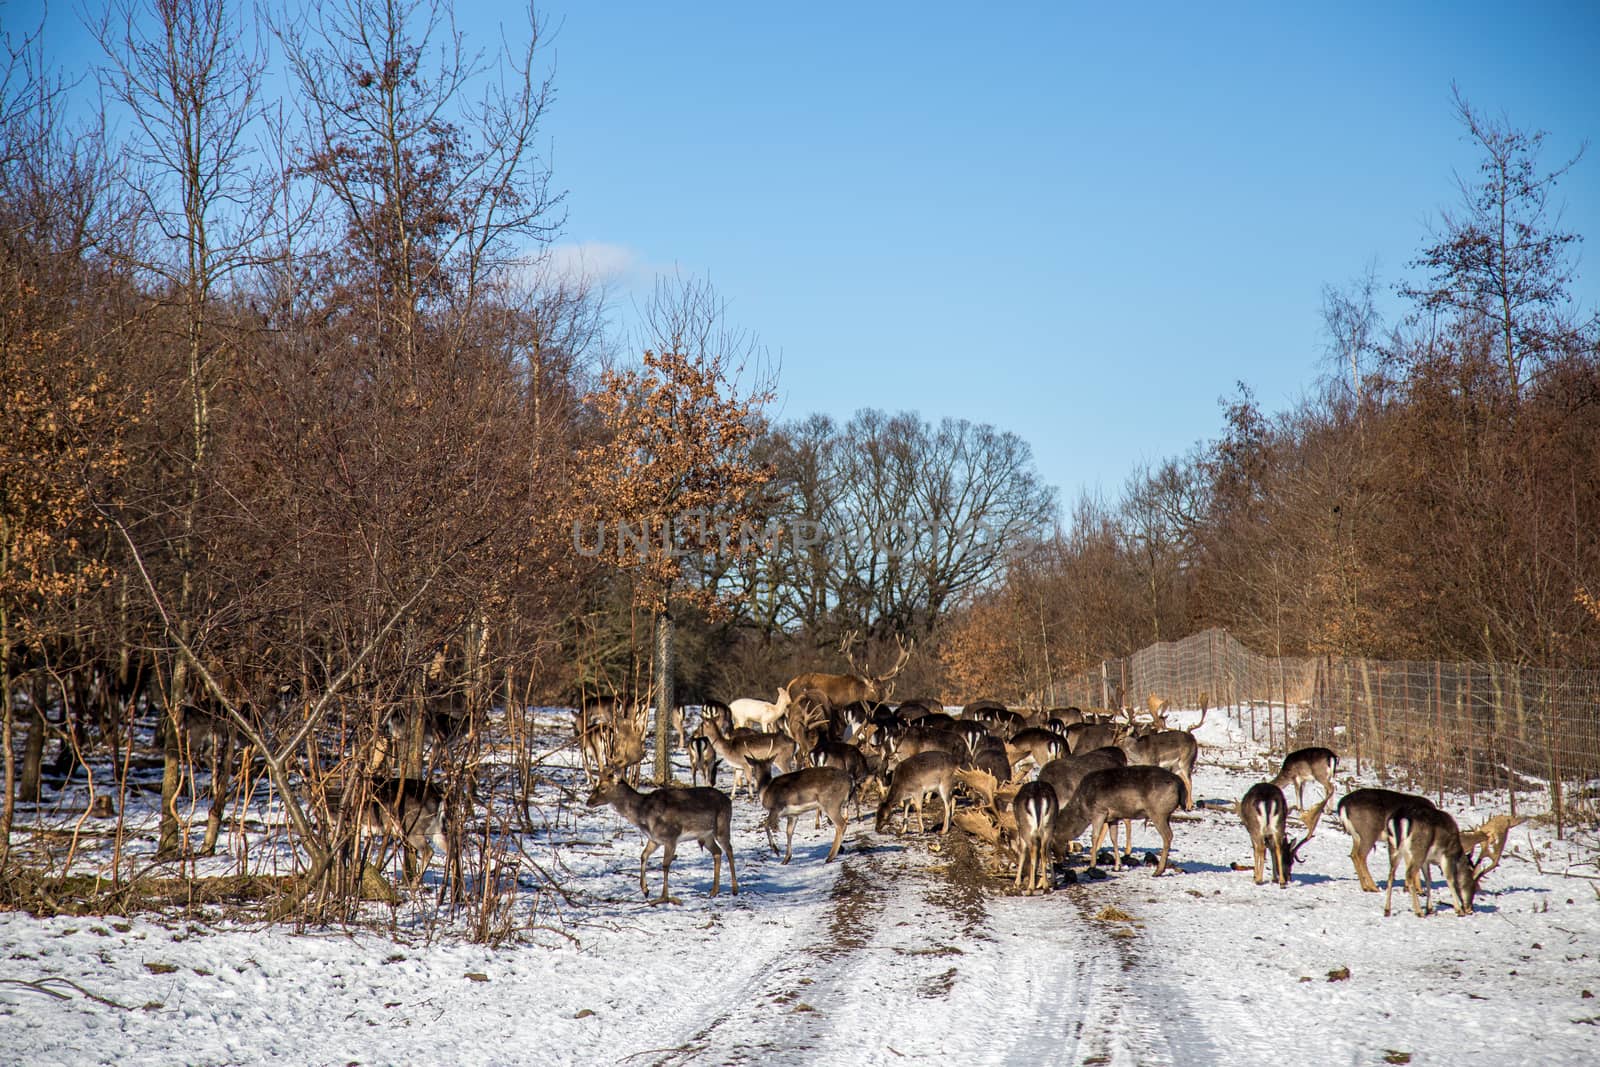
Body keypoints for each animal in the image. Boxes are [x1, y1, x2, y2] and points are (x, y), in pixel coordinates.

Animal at [588, 771, 736, 908]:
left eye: (603, 787)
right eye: (597, 784)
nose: (588, 802)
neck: (644, 815)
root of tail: (729, 800)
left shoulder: (671, 837)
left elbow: (665, 865)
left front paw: (664, 897)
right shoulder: (654, 839)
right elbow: (643, 855)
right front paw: (645, 890)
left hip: (722, 825)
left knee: (729, 849)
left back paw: (734, 889)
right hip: (706, 835)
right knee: (717, 852)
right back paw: (714, 891)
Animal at [1049, 767, 1190, 876]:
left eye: (1053, 838)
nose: (1060, 859)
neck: (1083, 807)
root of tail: (1180, 784)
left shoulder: (1099, 811)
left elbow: (1094, 837)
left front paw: (1092, 865)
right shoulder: (1113, 818)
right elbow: (1114, 838)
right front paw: (1117, 866)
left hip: (1158, 813)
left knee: (1167, 836)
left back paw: (1158, 871)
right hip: (1165, 815)